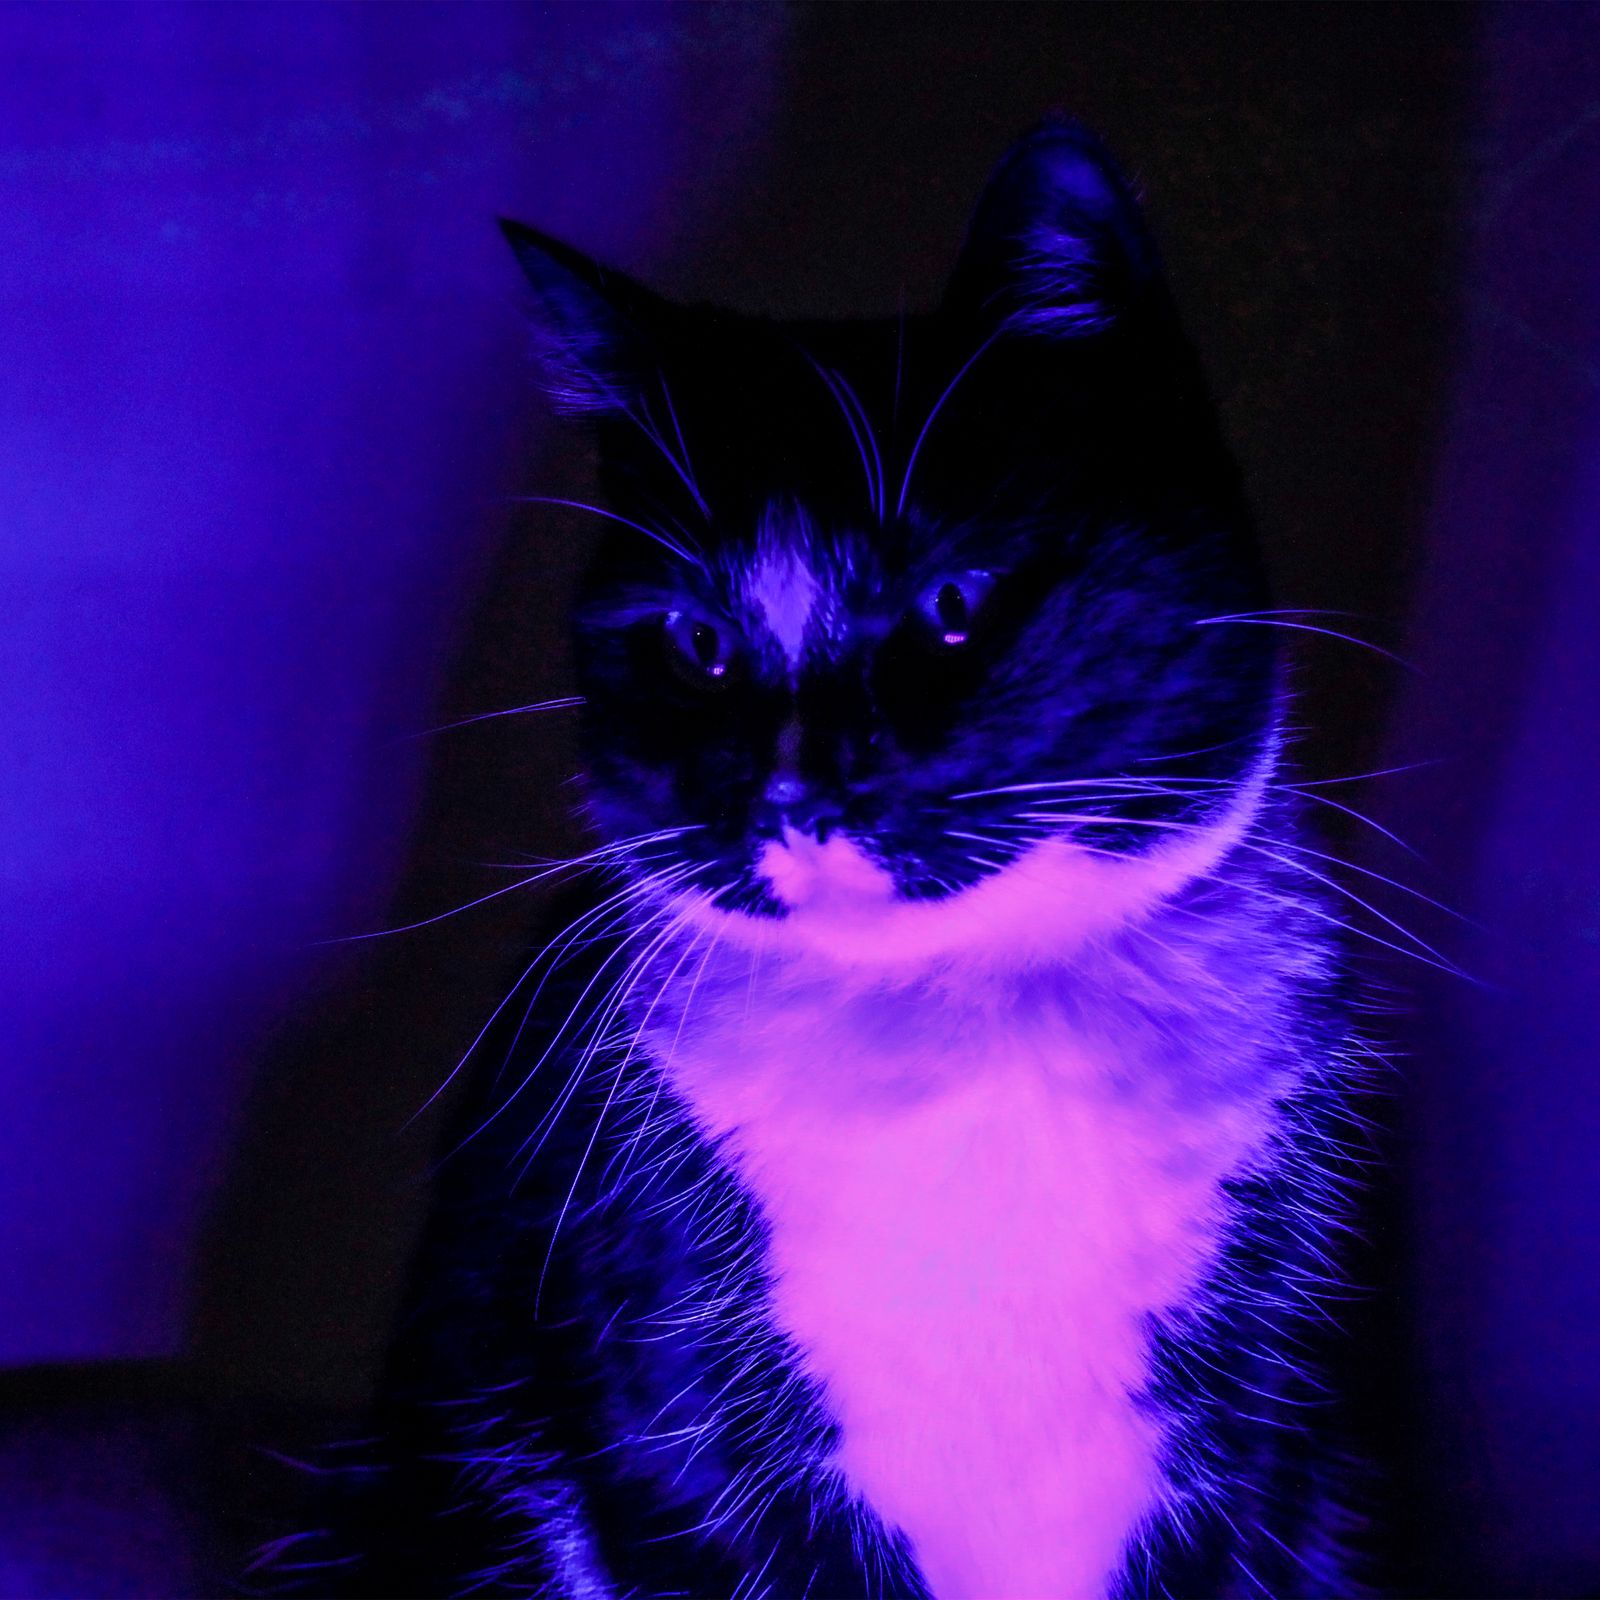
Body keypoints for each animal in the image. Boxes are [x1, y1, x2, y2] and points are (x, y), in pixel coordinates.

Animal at [299, 122, 1370, 1599]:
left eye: (954, 605)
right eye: (695, 642)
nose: (799, 790)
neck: (970, 1027)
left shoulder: (1261, 1412)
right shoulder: (672, 1397)